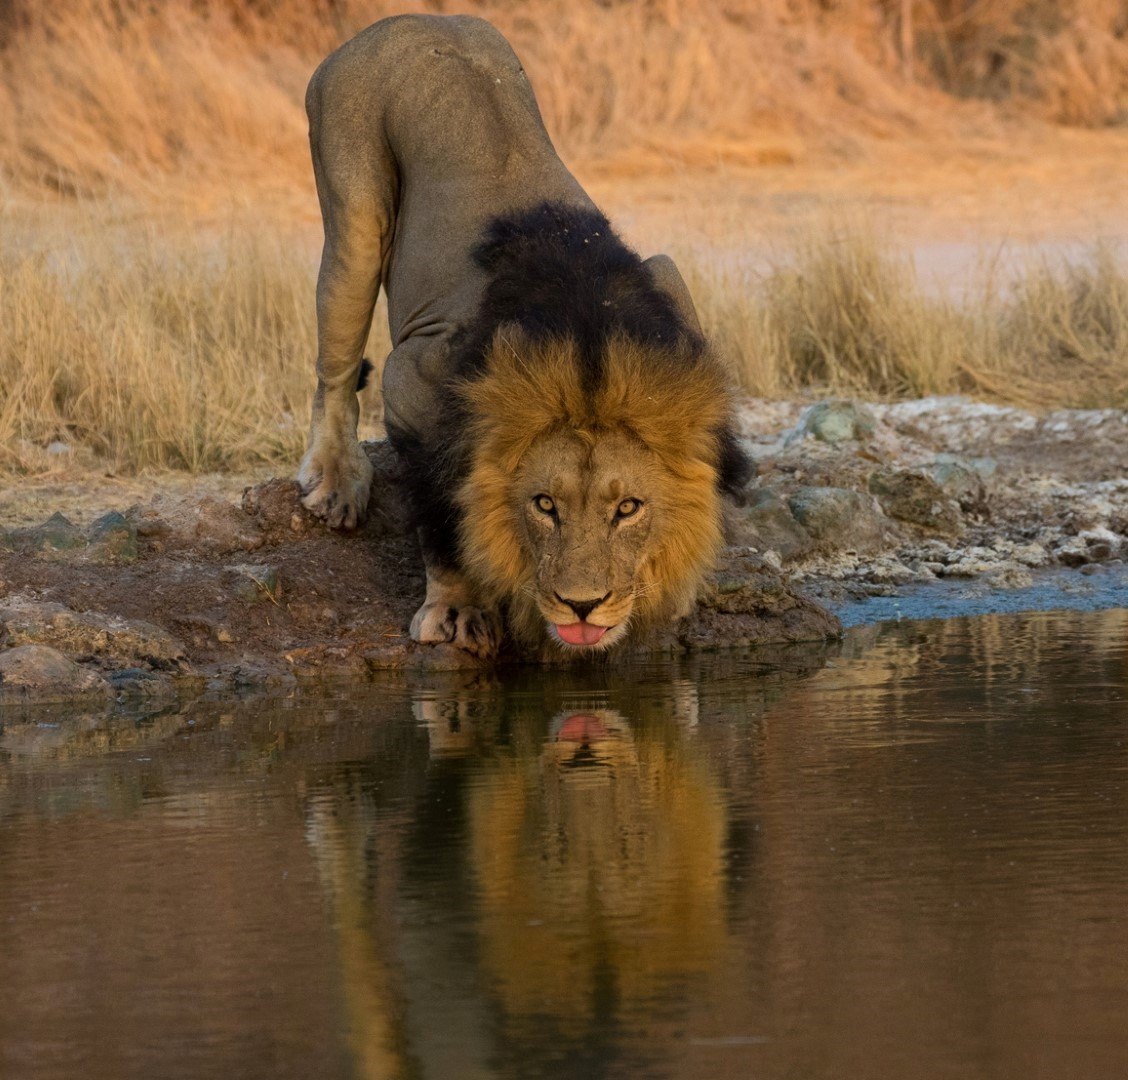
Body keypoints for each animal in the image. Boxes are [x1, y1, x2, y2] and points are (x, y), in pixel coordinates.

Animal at [300, 14, 748, 659]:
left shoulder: (672, 291)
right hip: (353, 203)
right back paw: (337, 480)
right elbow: (444, 511)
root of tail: (411, 18)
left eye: (627, 508)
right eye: (544, 505)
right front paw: (457, 608)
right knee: (334, 370)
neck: (589, 352)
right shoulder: (414, 379)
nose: (582, 606)